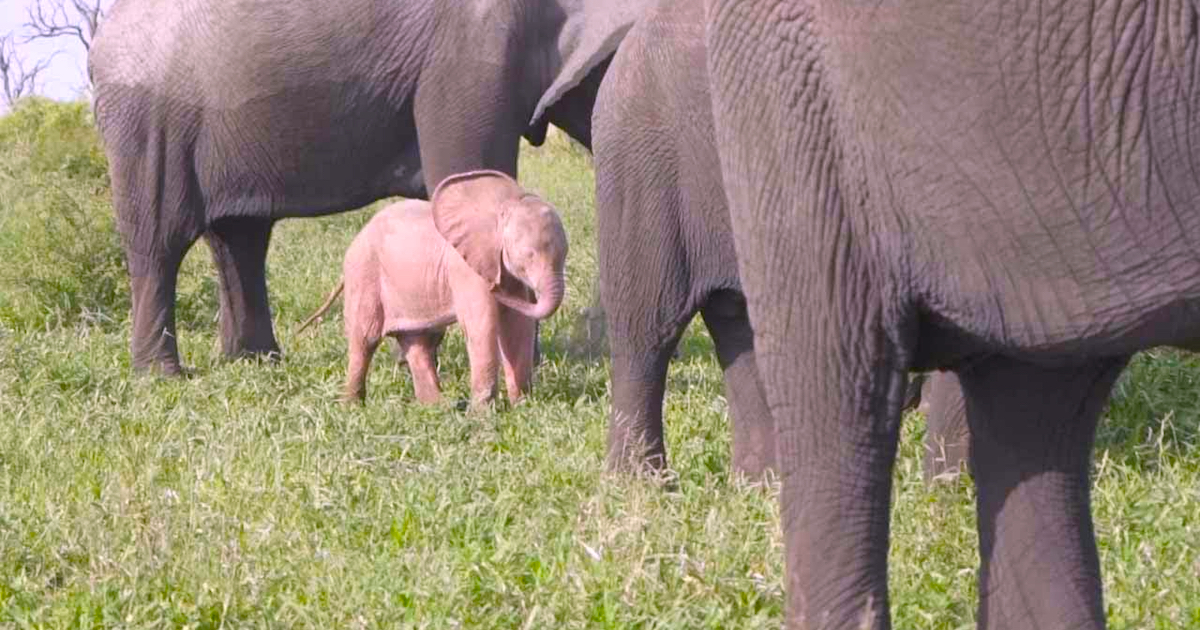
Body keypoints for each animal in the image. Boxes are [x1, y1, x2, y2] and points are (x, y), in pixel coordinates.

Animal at [90, 0, 648, 374]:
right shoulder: (471, 53)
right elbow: (464, 177)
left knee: (240, 240)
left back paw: (256, 362)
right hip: (152, 125)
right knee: (160, 241)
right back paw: (163, 376)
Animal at [295, 170, 566, 408]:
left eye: (564, 256)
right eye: (528, 256)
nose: (496, 289)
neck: (504, 204)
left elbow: (518, 325)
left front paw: (522, 407)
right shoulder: (465, 269)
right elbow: (482, 325)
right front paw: (483, 414)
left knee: (420, 341)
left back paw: (439, 406)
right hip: (364, 274)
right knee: (365, 339)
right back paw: (352, 407)